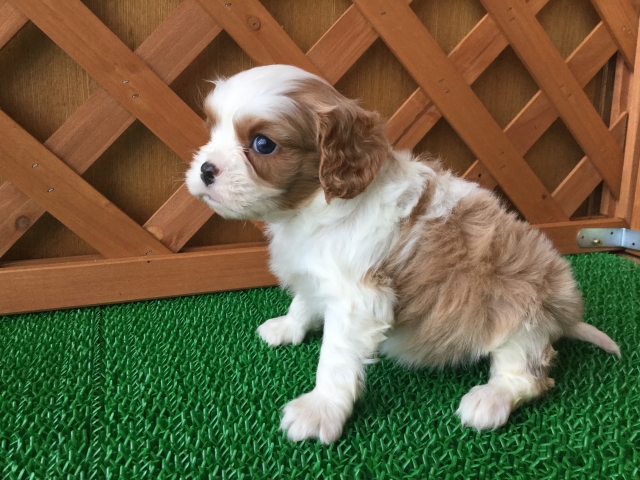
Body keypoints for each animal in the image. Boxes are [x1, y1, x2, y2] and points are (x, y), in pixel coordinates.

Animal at [186, 64, 620, 444]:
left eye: (263, 144)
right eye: (212, 128)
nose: (206, 169)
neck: (311, 208)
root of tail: (564, 316)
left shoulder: (358, 300)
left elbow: (335, 358)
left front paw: (320, 409)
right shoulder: (317, 270)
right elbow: (305, 301)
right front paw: (289, 327)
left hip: (518, 314)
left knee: (528, 377)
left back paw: (488, 400)